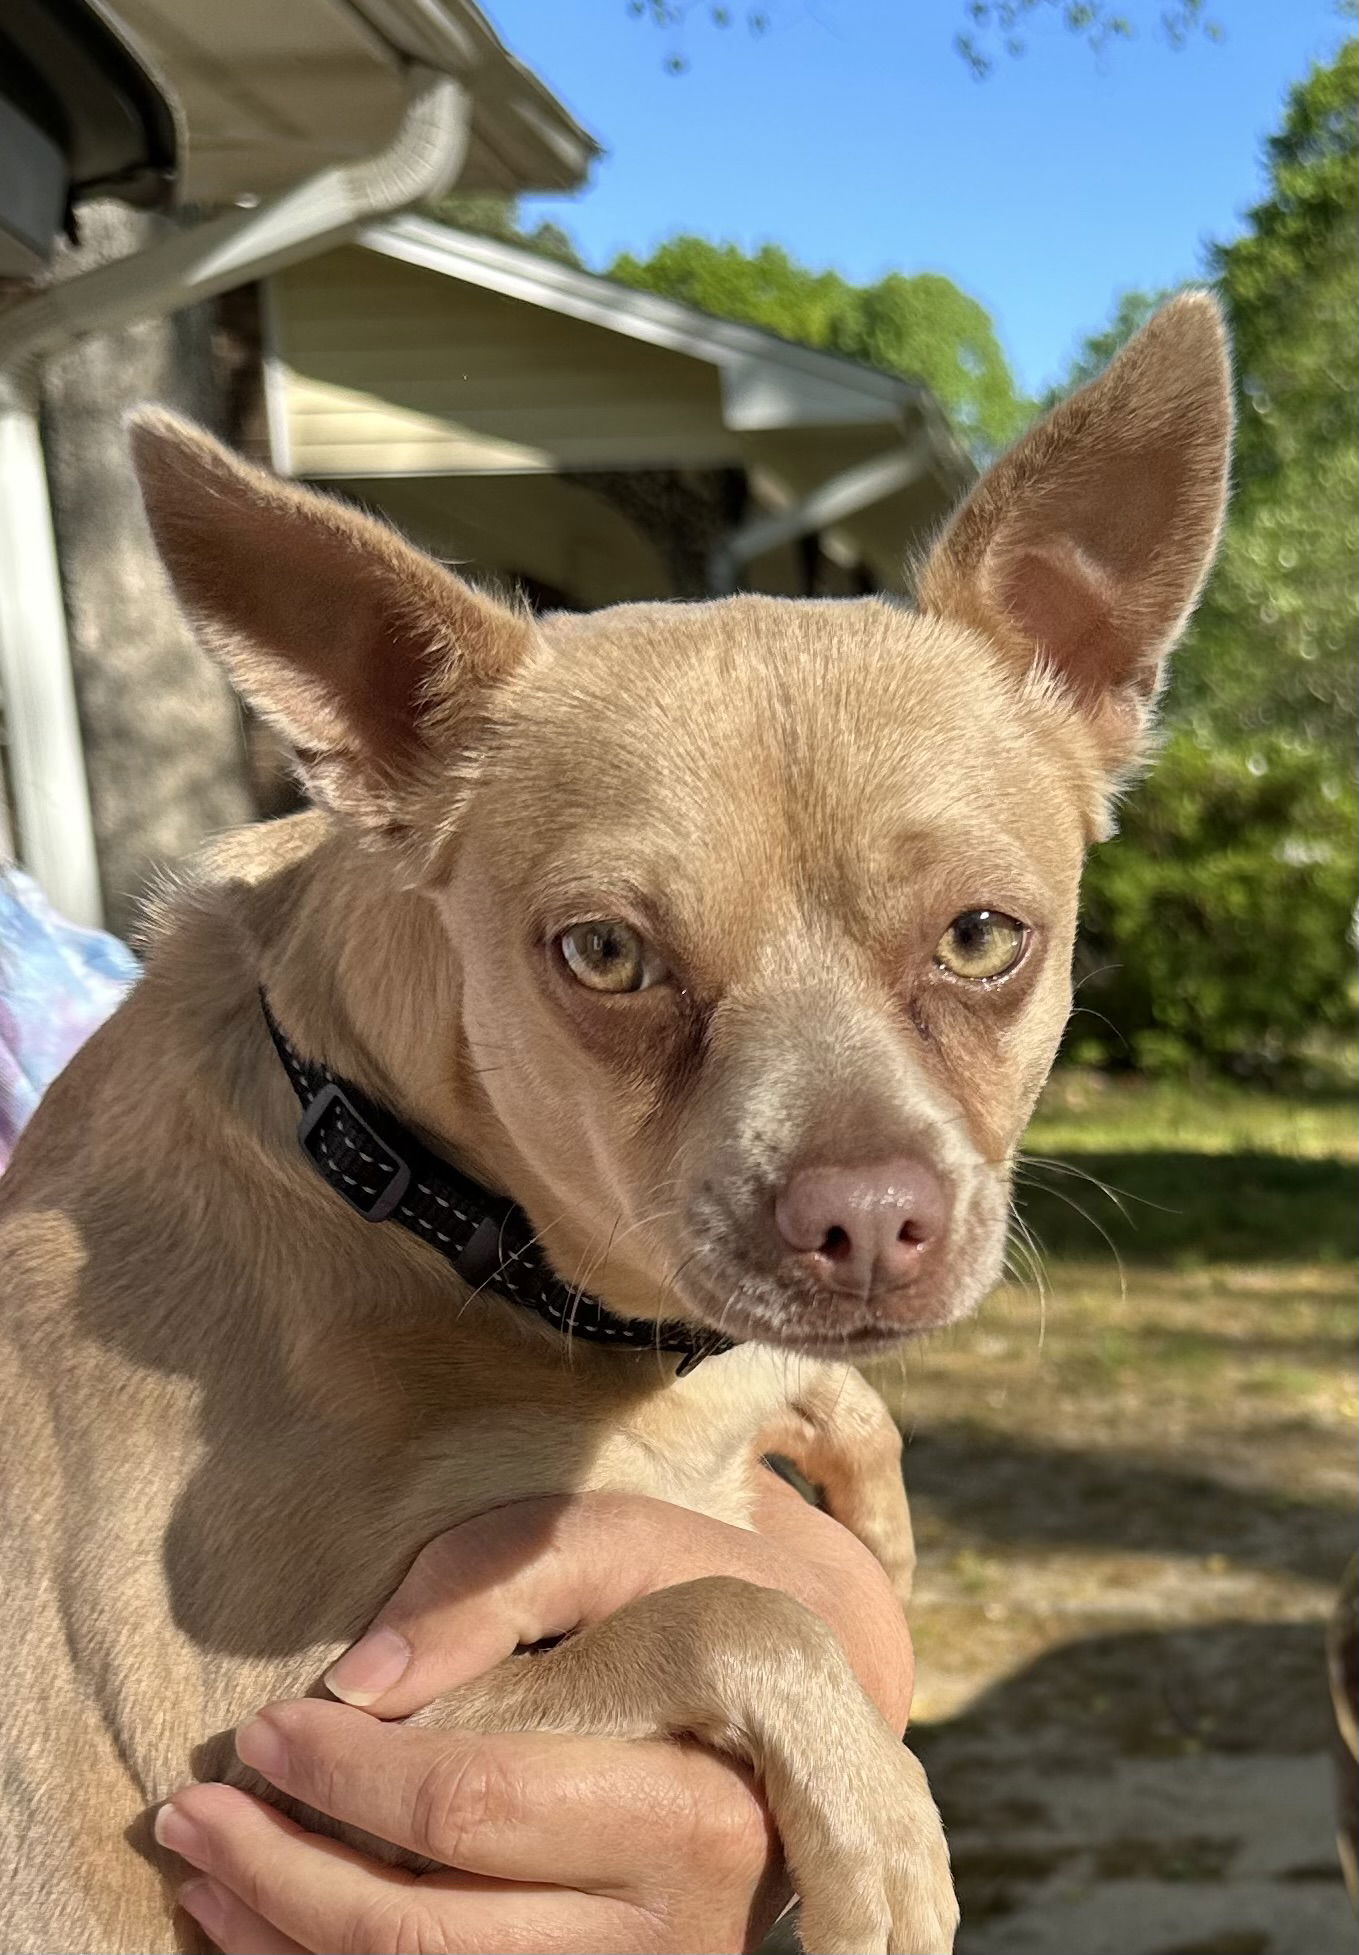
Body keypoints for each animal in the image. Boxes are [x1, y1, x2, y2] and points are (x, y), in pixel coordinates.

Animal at [0, 293, 1235, 1955]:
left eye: (983, 937)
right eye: (601, 954)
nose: (867, 1219)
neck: (413, 1190)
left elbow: (824, 1421)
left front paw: (879, 1542)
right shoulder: (288, 1731)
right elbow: (727, 1600)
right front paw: (884, 1837)